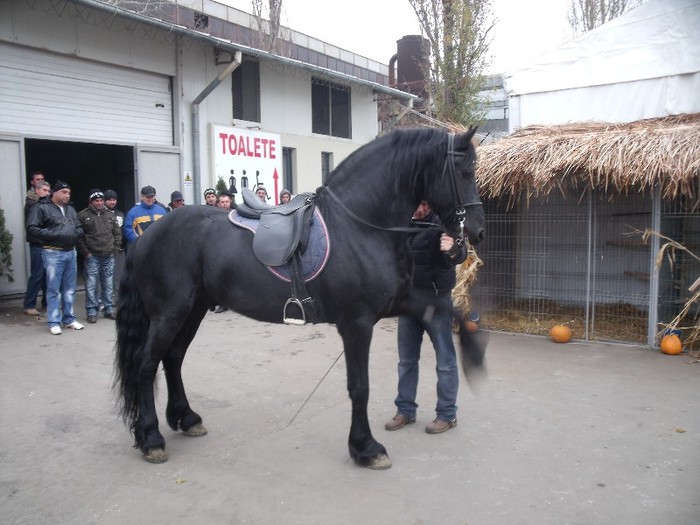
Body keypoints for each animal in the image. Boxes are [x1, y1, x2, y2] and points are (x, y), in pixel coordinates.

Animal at [116, 126, 486, 466]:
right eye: (466, 172)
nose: (478, 230)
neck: (361, 226)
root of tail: (148, 233)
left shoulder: (397, 302)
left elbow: (444, 308)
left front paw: (474, 355)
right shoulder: (357, 323)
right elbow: (360, 386)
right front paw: (365, 448)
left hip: (194, 309)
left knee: (173, 358)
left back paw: (186, 418)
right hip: (170, 312)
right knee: (147, 365)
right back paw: (151, 438)